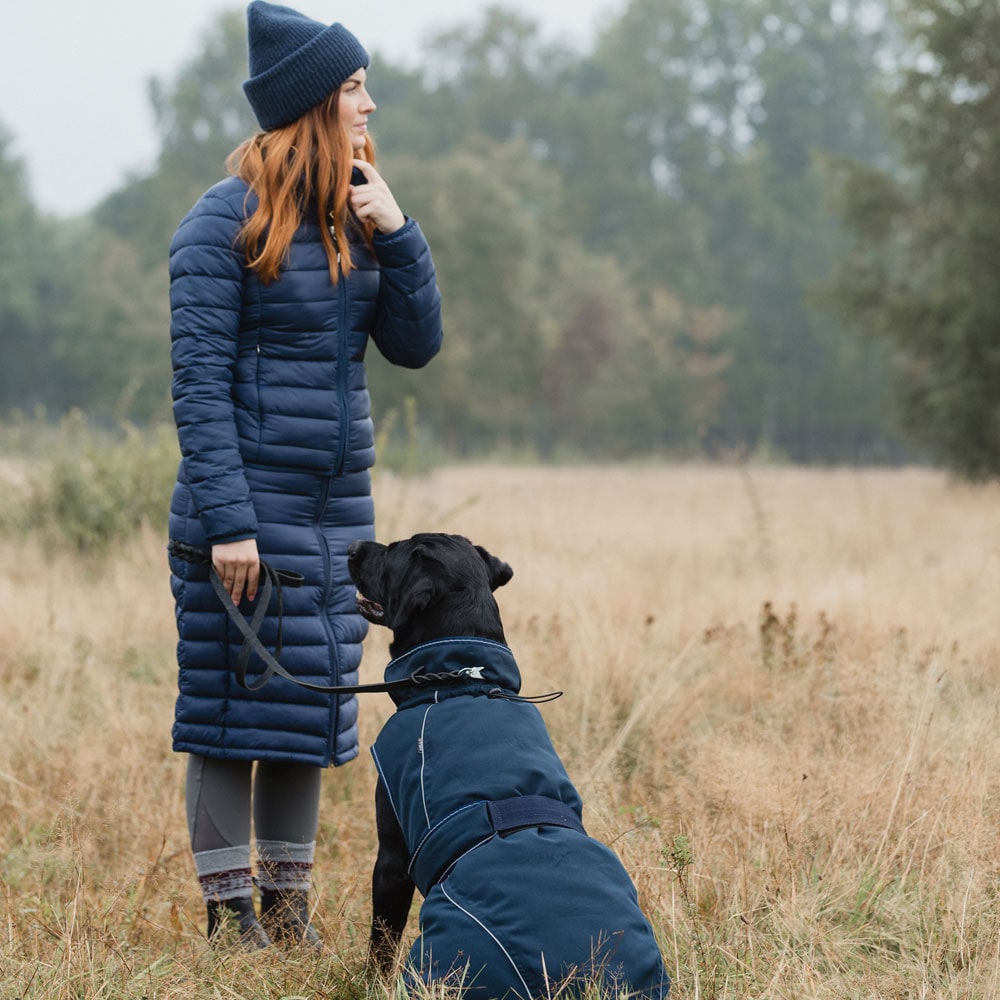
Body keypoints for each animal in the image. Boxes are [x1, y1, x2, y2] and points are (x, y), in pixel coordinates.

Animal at [348, 536, 668, 996]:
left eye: (392, 550)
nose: (353, 546)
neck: (463, 681)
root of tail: (576, 976)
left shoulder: (392, 855)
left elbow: (382, 940)